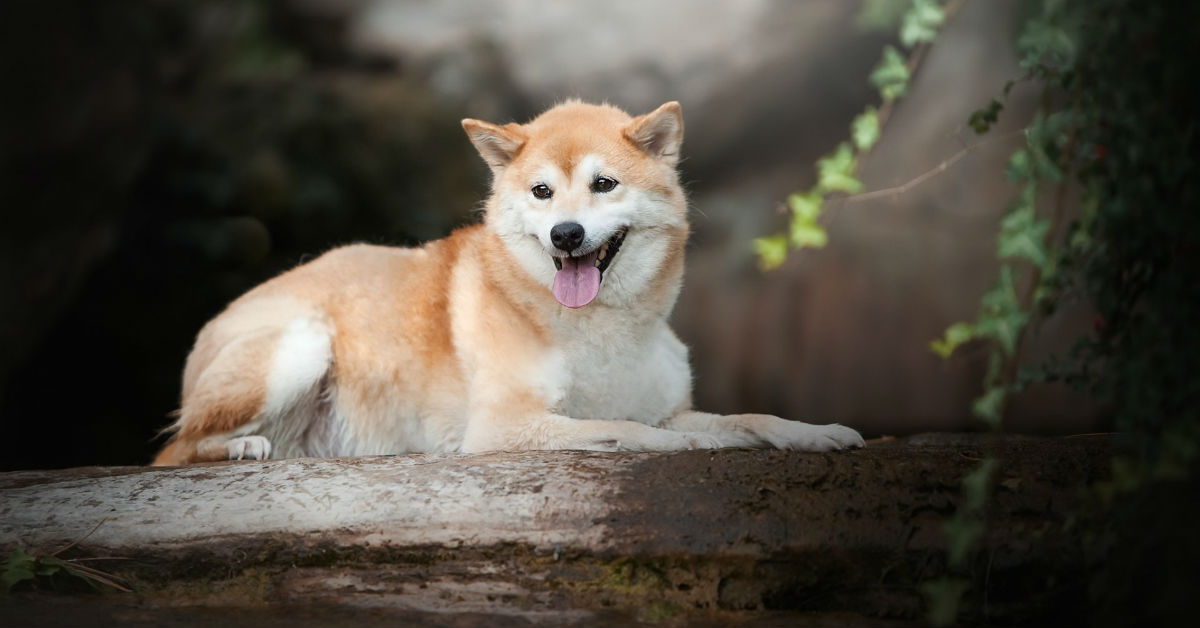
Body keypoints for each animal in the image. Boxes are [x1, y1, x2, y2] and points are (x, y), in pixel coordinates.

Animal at [152, 100, 864, 463]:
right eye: (542, 191)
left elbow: (747, 416)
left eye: (604, 183)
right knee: (181, 448)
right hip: (303, 344)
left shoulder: (668, 404)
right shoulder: (504, 426)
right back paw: (240, 447)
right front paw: (682, 446)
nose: (567, 235)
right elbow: (634, 431)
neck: (598, 330)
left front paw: (814, 432)